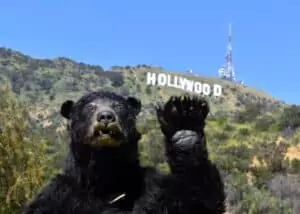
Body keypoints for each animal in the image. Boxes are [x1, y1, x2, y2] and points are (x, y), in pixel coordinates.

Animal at [22, 91, 225, 213]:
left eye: (119, 107)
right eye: (90, 107)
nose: (106, 117)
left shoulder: (154, 188)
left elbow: (198, 204)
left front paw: (184, 123)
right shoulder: (58, 195)